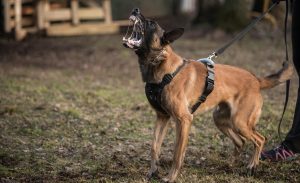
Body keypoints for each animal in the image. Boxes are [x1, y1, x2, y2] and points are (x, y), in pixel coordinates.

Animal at [122, 8, 292, 182]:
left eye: (151, 23)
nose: (135, 10)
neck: (162, 66)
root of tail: (256, 80)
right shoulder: (162, 117)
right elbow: (154, 147)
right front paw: (152, 172)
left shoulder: (184, 120)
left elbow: (177, 154)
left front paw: (171, 177)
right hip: (220, 119)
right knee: (240, 141)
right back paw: (230, 165)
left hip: (239, 121)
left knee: (260, 139)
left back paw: (252, 165)